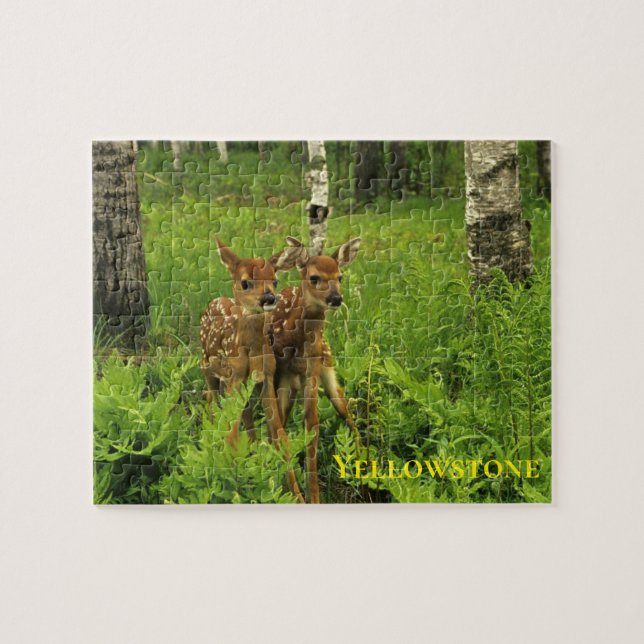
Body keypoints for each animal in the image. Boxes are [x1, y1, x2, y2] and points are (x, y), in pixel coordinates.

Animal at [200, 238, 304, 502]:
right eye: (245, 282)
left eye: (275, 280)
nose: (269, 298)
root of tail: (213, 301)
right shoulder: (235, 378)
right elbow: (232, 436)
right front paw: (233, 485)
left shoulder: (265, 379)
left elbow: (280, 436)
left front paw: (298, 495)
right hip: (207, 368)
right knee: (211, 403)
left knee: (246, 418)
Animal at [271, 236, 361, 503]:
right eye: (314, 277)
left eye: (340, 276)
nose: (336, 298)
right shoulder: (278, 374)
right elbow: (279, 430)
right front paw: (295, 494)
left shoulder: (313, 365)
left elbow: (312, 424)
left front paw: (314, 496)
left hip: (326, 363)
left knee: (344, 409)